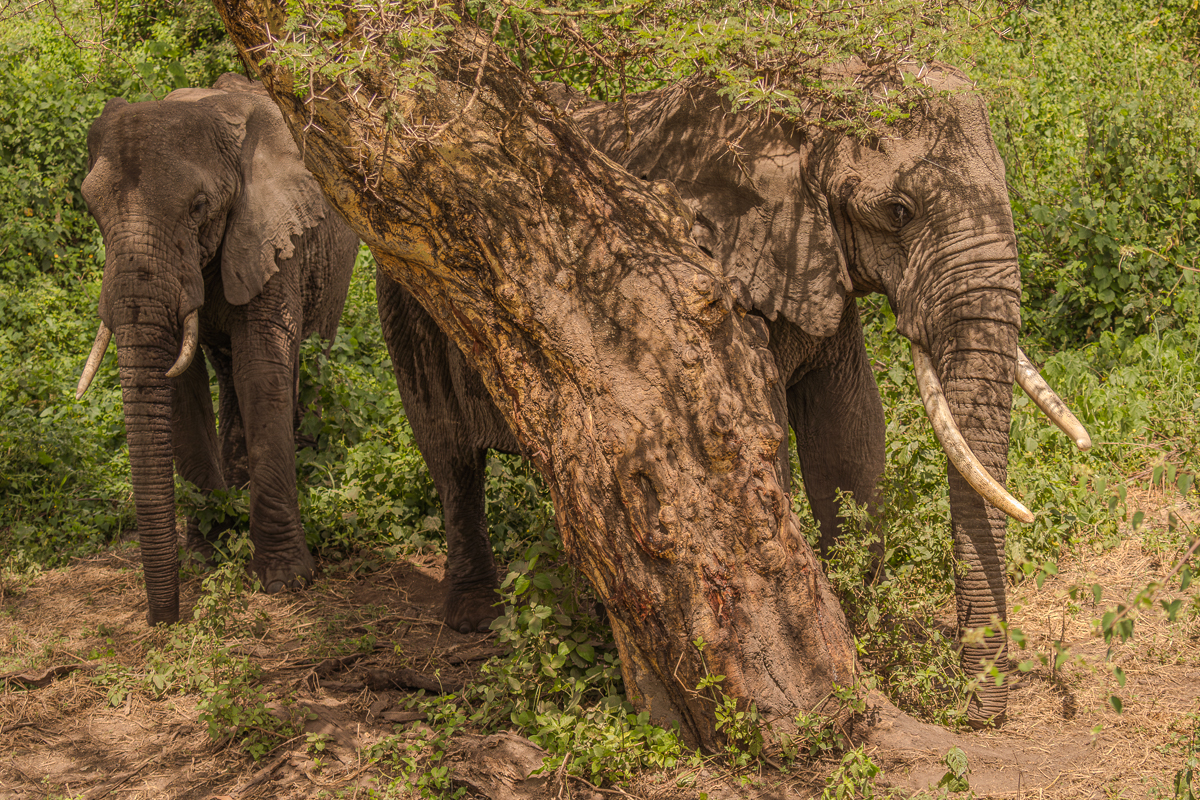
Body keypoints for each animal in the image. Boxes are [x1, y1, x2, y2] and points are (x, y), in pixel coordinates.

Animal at [75, 72, 360, 627]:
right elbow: (180, 388)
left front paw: (286, 579)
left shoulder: (272, 238)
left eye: (198, 208)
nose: (164, 619)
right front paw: (206, 556)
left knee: (308, 357)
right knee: (228, 377)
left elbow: (264, 372)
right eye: (92, 209)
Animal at [375, 63, 1089, 726]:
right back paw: (477, 616)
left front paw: (861, 627)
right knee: (450, 455)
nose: (980, 718)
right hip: (412, 296)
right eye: (898, 212)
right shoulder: (717, 275)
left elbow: (849, 436)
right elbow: (764, 433)